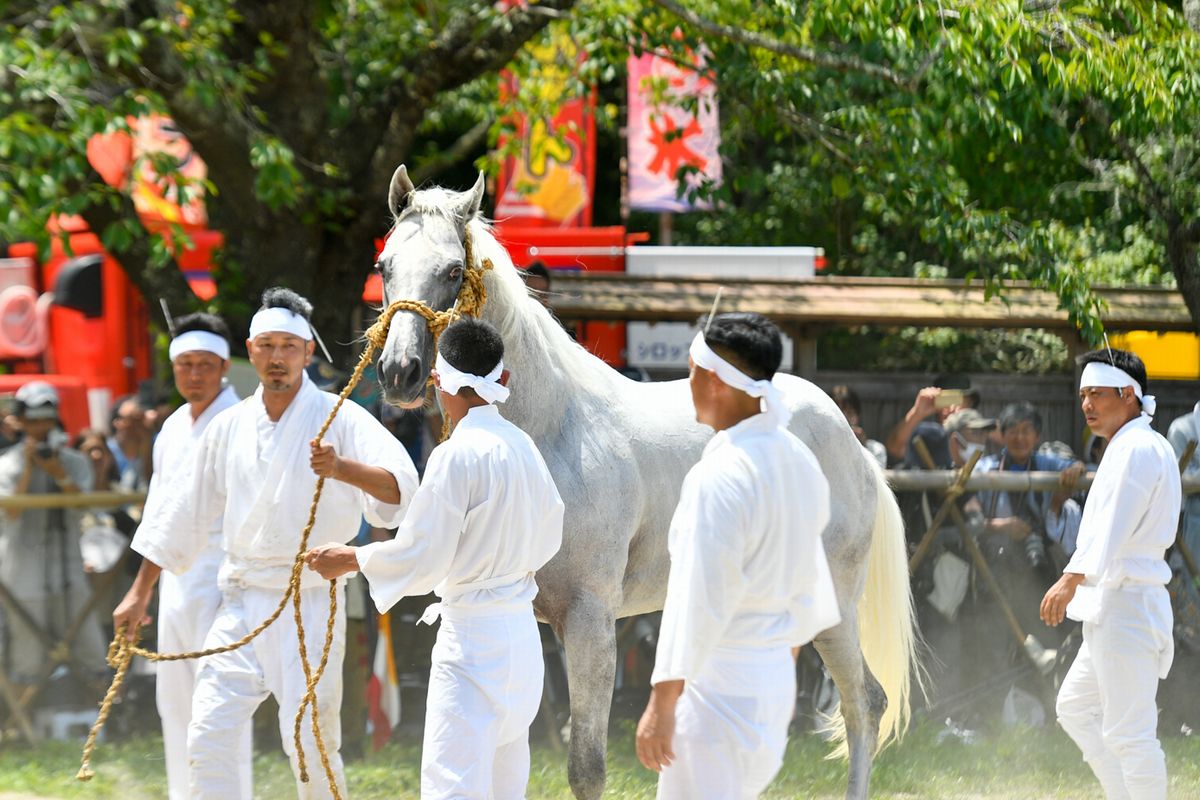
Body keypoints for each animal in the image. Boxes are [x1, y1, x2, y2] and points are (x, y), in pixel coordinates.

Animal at [374, 165, 916, 796]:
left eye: (453, 272)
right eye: (385, 266)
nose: (399, 373)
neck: (552, 428)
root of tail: (852, 445)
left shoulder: (590, 620)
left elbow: (586, 767)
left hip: (831, 606)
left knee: (865, 704)